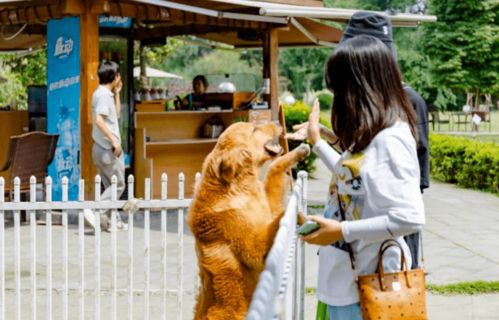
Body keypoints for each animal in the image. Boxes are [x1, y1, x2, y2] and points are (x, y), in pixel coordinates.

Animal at [188, 121, 308, 318]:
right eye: (254, 129)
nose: (276, 122)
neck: (238, 186)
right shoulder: (254, 248)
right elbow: (278, 220)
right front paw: (299, 216)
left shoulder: (268, 207)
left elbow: (274, 169)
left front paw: (298, 151)